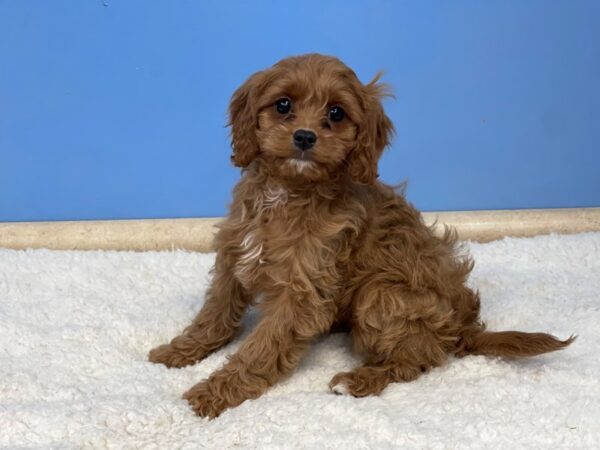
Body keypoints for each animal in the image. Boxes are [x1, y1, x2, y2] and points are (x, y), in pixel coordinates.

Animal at [149, 53, 572, 418]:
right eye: (283, 105)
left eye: (336, 113)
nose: (304, 137)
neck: (287, 192)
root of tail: (463, 330)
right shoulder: (235, 255)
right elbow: (214, 313)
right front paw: (180, 350)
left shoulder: (300, 291)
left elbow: (261, 347)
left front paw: (215, 392)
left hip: (381, 294)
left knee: (418, 360)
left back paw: (358, 379)